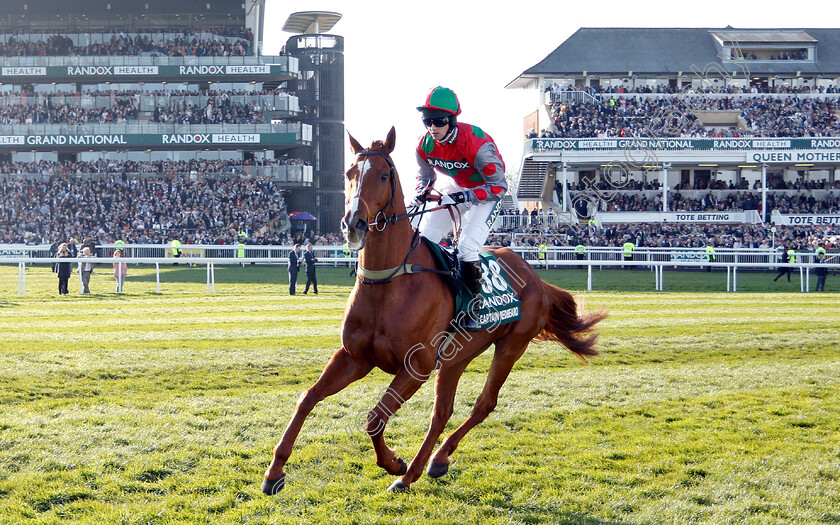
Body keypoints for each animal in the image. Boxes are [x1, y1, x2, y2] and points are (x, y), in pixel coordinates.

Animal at [262, 128, 604, 496]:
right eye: (350, 173)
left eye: (383, 175)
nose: (353, 223)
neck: (390, 282)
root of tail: (536, 276)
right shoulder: (354, 357)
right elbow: (308, 398)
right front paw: (274, 472)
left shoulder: (417, 366)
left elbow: (374, 417)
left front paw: (393, 461)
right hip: (458, 356)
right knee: (442, 412)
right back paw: (427, 466)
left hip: (512, 344)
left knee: (483, 404)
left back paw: (415, 469)